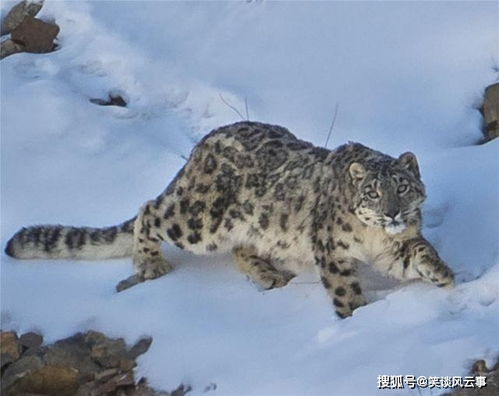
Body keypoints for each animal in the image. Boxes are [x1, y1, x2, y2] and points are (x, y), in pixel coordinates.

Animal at [4, 122, 458, 318]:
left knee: (241, 246)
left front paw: (443, 273)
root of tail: (201, 148)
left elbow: (417, 251)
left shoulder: (390, 248)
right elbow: (344, 289)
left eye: (402, 187)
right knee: (149, 210)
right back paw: (150, 263)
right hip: (196, 220)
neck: (373, 236)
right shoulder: (333, 251)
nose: (392, 213)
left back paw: (266, 272)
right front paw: (357, 318)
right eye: (373, 193)